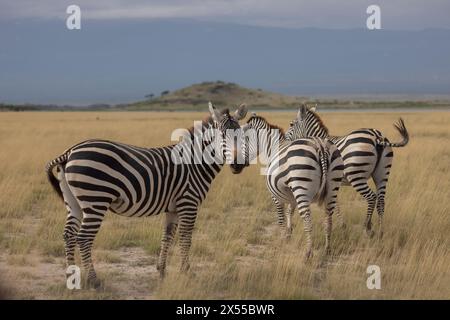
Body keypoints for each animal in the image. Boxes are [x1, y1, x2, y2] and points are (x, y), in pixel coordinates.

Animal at [44, 103, 248, 288]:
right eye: (222, 136)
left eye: (241, 136)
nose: (238, 165)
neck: (195, 163)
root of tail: (70, 151)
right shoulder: (188, 203)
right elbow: (186, 238)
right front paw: (187, 272)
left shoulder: (173, 207)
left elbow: (167, 236)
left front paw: (162, 271)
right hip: (95, 201)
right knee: (83, 238)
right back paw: (94, 281)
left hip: (74, 202)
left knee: (68, 234)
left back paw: (71, 276)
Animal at [239, 114, 344, 258]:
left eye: (244, 140)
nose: (236, 166)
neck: (272, 149)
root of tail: (320, 145)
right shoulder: (290, 194)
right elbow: (289, 211)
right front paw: (289, 233)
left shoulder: (276, 195)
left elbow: (280, 217)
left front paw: (283, 237)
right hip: (332, 188)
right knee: (328, 219)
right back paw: (327, 249)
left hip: (302, 187)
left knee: (308, 220)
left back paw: (308, 252)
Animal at [286, 104, 410, 238]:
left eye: (291, 124)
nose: (285, 141)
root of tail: (377, 137)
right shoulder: (332, 182)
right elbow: (335, 203)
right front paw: (341, 225)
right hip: (382, 174)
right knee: (381, 201)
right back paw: (381, 233)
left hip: (356, 175)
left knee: (372, 197)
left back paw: (367, 228)